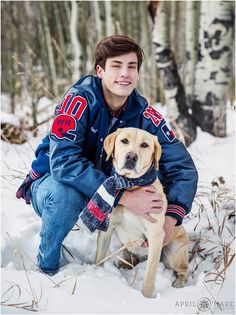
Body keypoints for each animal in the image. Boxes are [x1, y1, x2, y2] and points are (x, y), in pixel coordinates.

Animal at [95, 128, 189, 298]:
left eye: (145, 145)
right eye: (124, 141)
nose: (131, 157)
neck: (131, 186)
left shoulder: (155, 236)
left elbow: (149, 277)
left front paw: (146, 297)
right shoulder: (107, 229)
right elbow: (99, 258)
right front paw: (97, 274)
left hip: (174, 251)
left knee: (184, 269)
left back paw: (180, 282)